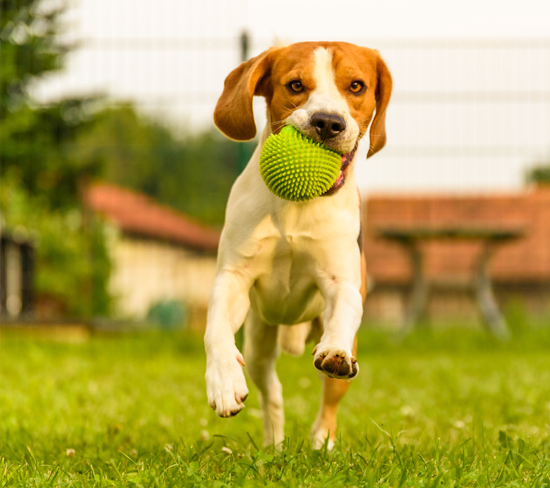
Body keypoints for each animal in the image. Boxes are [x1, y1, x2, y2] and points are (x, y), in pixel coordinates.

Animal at [206, 43, 392, 450]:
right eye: (295, 85)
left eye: (356, 86)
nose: (328, 122)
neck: (298, 205)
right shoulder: (233, 277)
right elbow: (216, 328)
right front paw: (224, 380)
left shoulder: (342, 281)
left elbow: (344, 312)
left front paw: (335, 350)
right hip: (259, 340)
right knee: (271, 391)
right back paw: (274, 444)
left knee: (329, 400)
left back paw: (322, 443)